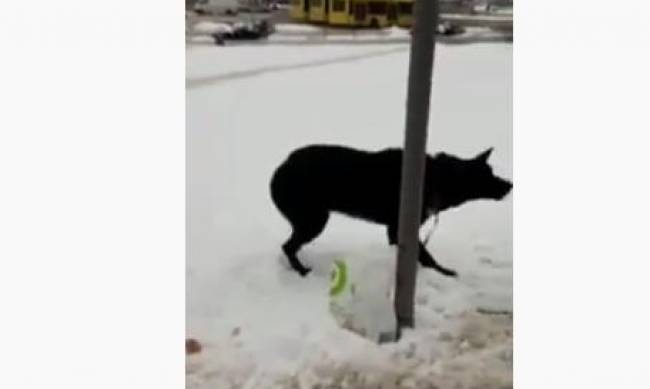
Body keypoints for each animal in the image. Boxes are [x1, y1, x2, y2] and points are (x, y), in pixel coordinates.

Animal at [268, 145, 512, 276]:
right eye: (486, 176)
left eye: (491, 171)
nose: (510, 184)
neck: (435, 178)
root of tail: (281, 168)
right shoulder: (399, 229)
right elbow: (427, 256)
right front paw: (444, 273)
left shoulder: (394, 232)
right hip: (314, 219)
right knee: (288, 246)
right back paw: (301, 271)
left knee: (289, 246)